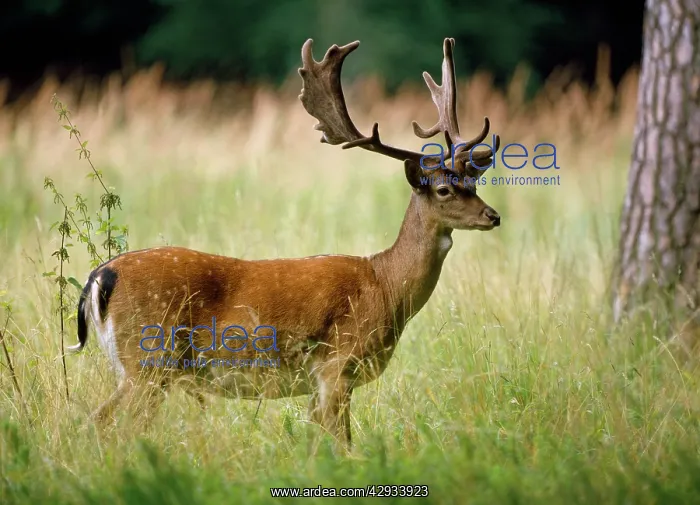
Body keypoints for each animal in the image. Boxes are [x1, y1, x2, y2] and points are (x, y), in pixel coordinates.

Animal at [69, 37, 501, 451]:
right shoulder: (336, 365)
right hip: (147, 358)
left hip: (140, 368)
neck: (385, 284)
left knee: (100, 422)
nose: (492, 216)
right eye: (444, 190)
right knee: (109, 424)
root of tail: (99, 277)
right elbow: (343, 443)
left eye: (473, 182)